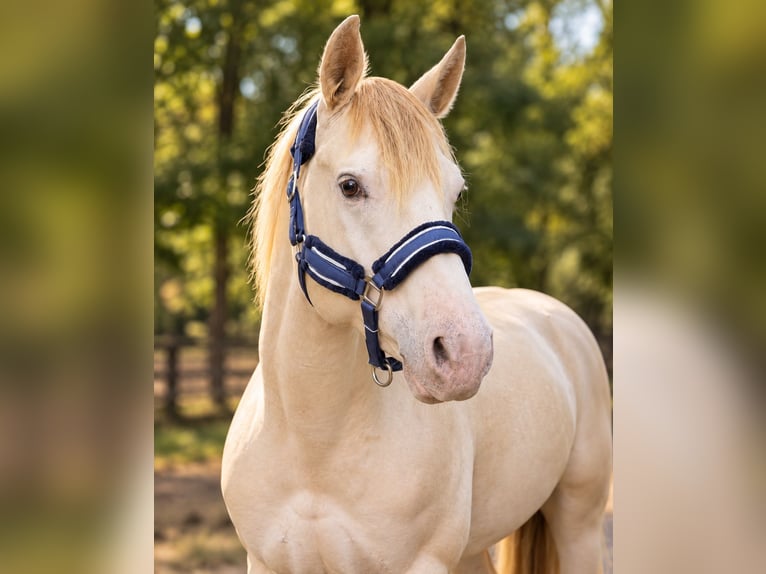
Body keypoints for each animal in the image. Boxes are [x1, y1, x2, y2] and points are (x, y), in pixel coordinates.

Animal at [222, 15, 612, 574]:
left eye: (455, 192)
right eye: (350, 186)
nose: (465, 354)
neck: (312, 445)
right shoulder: (265, 561)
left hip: (579, 520)